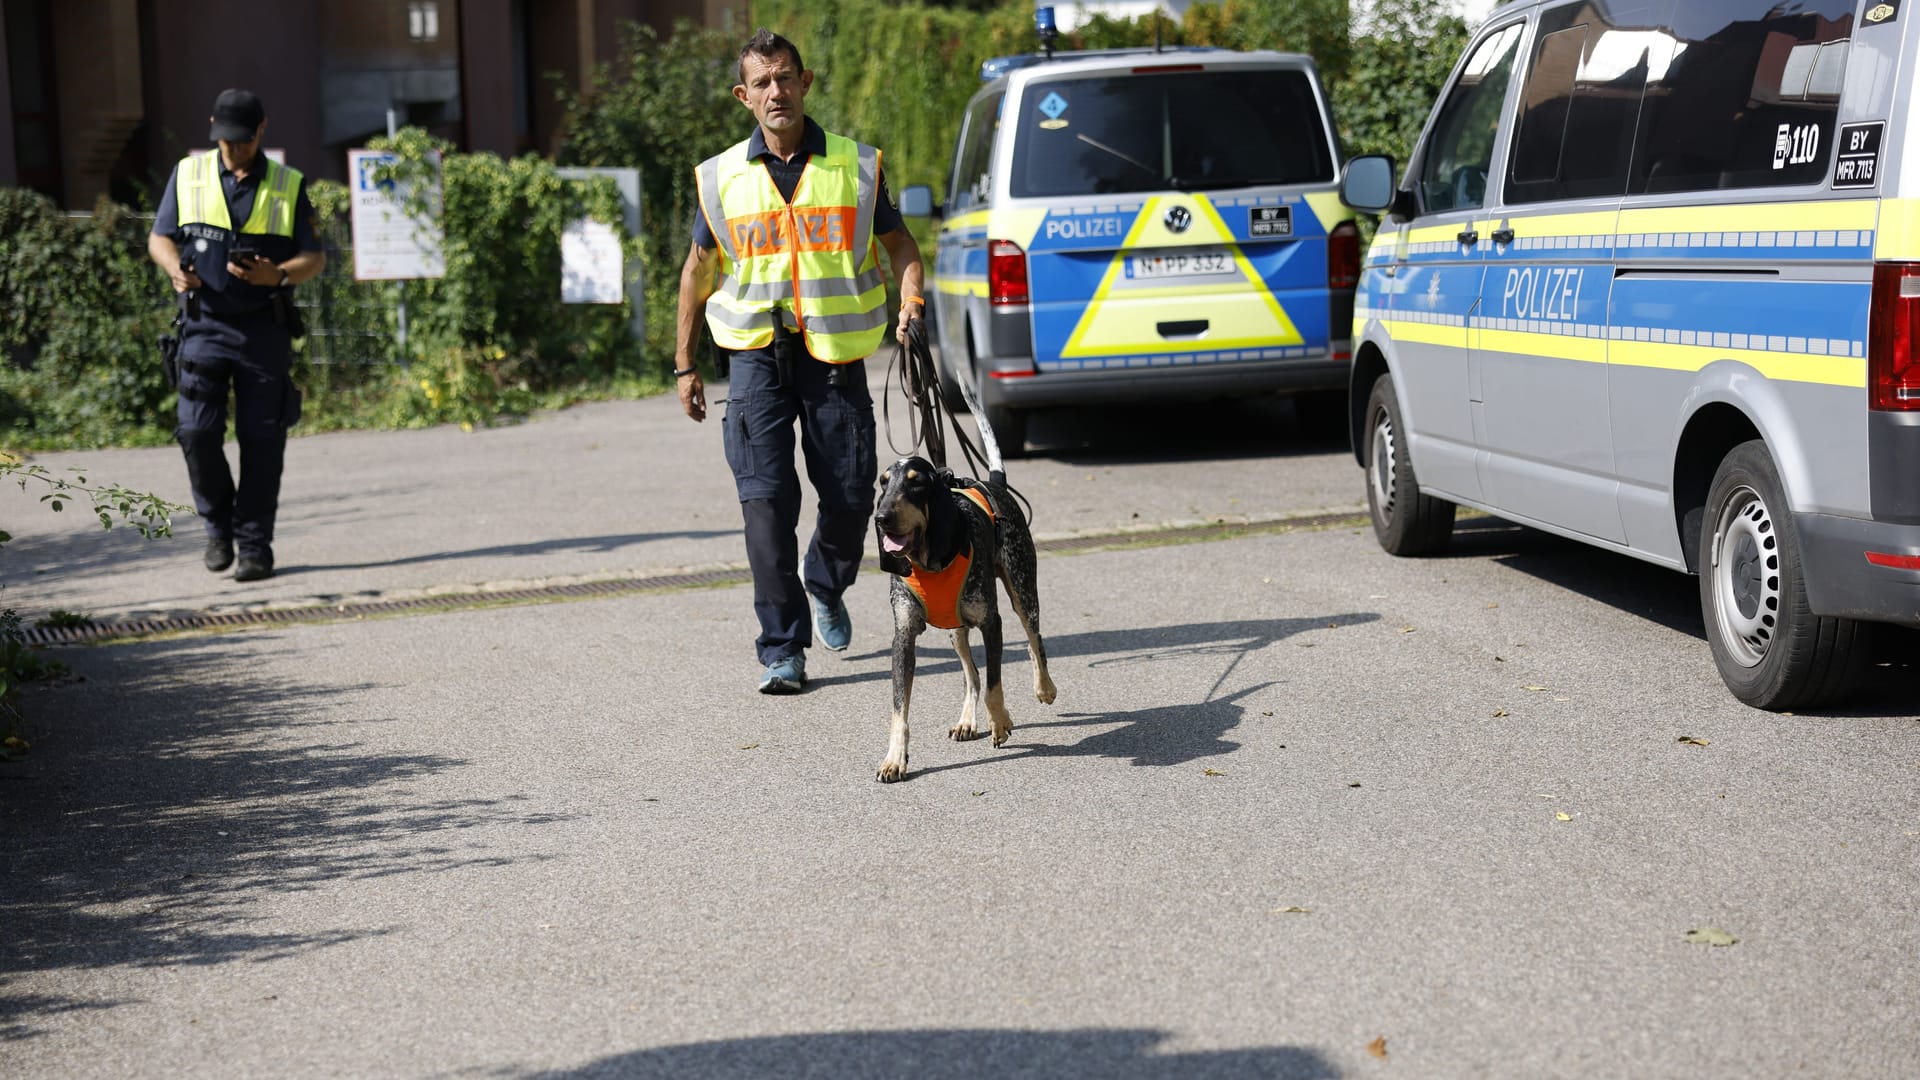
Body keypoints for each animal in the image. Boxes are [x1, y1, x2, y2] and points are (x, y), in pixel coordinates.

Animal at [875, 441, 1059, 776]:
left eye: (916, 483)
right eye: (884, 482)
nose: (882, 517)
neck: (929, 563)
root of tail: (994, 482)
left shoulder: (992, 624)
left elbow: (994, 687)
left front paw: (999, 723)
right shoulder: (903, 639)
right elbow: (899, 709)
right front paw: (895, 758)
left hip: (1023, 591)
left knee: (1033, 641)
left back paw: (1045, 688)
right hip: (956, 630)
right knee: (971, 674)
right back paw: (966, 721)